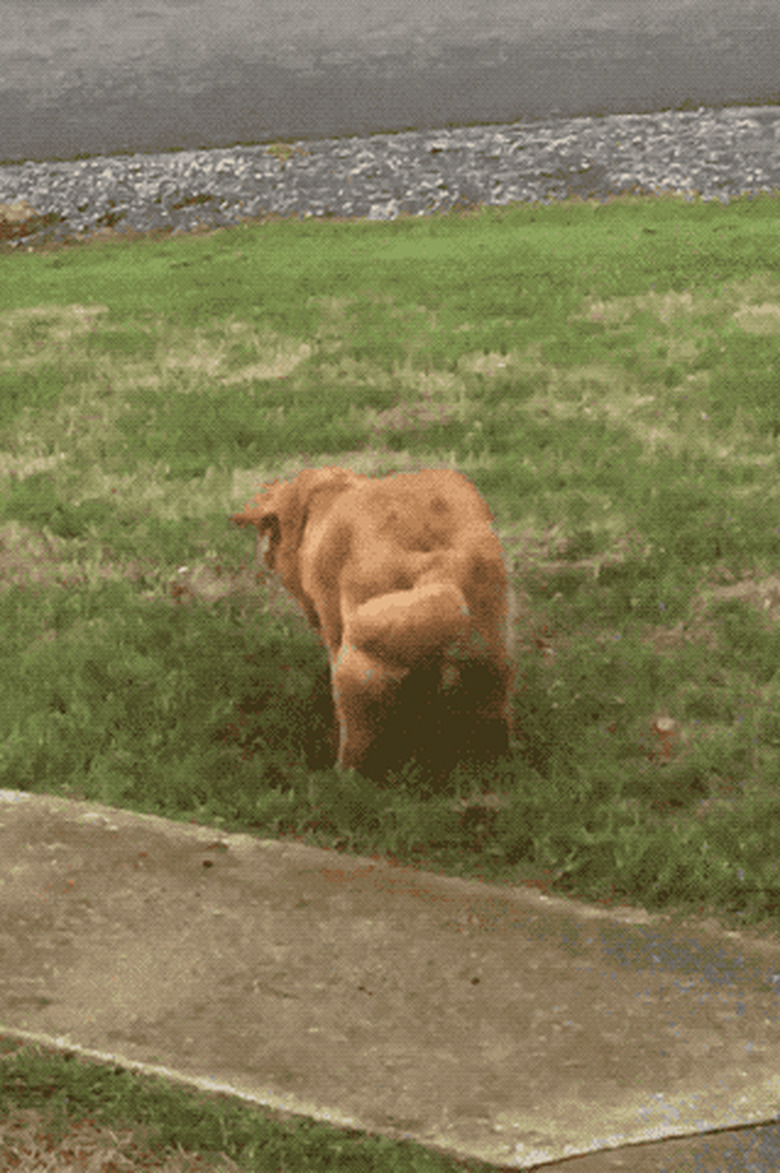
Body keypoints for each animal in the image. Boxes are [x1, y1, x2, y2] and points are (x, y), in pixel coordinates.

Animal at [229, 464, 511, 778]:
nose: (266, 557)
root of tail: (438, 560)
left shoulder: (332, 625)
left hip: (355, 676)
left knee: (357, 739)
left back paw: (342, 774)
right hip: (489, 660)